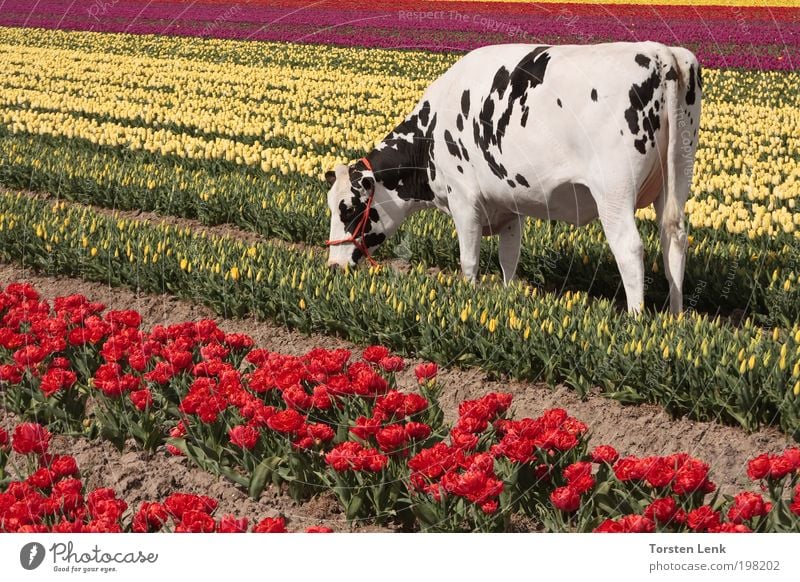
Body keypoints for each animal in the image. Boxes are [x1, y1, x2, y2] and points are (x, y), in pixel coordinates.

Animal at [324, 42, 700, 314]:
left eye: (348, 209)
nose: (332, 266)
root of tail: (661, 53)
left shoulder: (463, 199)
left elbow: (469, 260)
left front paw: (469, 297)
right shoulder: (508, 205)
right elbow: (509, 258)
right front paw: (505, 298)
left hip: (614, 192)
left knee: (630, 248)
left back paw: (636, 318)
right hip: (677, 178)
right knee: (674, 241)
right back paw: (676, 317)